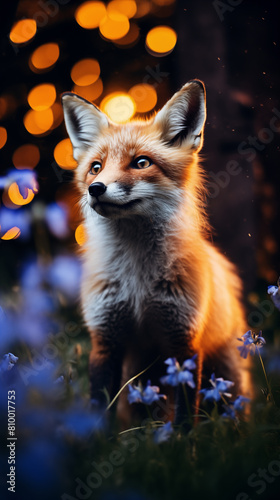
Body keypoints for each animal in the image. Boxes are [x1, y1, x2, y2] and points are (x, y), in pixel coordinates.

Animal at [62, 81, 253, 422]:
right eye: (96, 167)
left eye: (141, 163)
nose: (95, 189)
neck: (138, 281)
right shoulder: (105, 338)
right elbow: (99, 410)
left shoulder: (183, 340)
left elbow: (185, 419)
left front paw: (183, 439)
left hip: (227, 377)